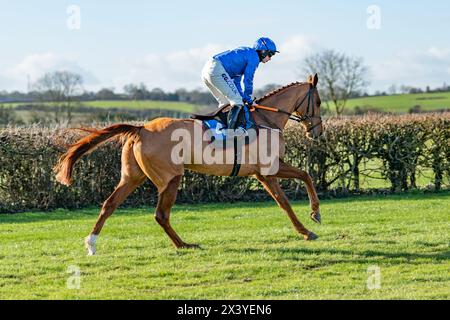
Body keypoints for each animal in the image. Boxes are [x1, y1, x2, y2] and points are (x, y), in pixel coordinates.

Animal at [53, 73, 324, 255]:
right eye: (320, 102)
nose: (316, 132)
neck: (267, 119)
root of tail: (140, 129)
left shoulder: (261, 174)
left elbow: (290, 192)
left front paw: (309, 222)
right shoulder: (269, 170)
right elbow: (298, 185)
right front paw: (312, 220)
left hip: (132, 177)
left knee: (109, 205)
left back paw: (91, 244)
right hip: (171, 177)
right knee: (161, 215)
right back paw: (184, 244)